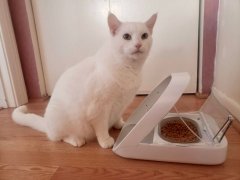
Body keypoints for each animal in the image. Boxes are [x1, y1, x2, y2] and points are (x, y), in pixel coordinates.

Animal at [11, 12, 158, 148]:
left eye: (144, 36)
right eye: (126, 36)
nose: (138, 44)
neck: (128, 68)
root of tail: (46, 123)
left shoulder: (121, 103)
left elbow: (117, 116)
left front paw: (120, 124)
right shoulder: (99, 109)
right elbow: (102, 128)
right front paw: (105, 141)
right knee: (58, 137)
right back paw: (76, 140)